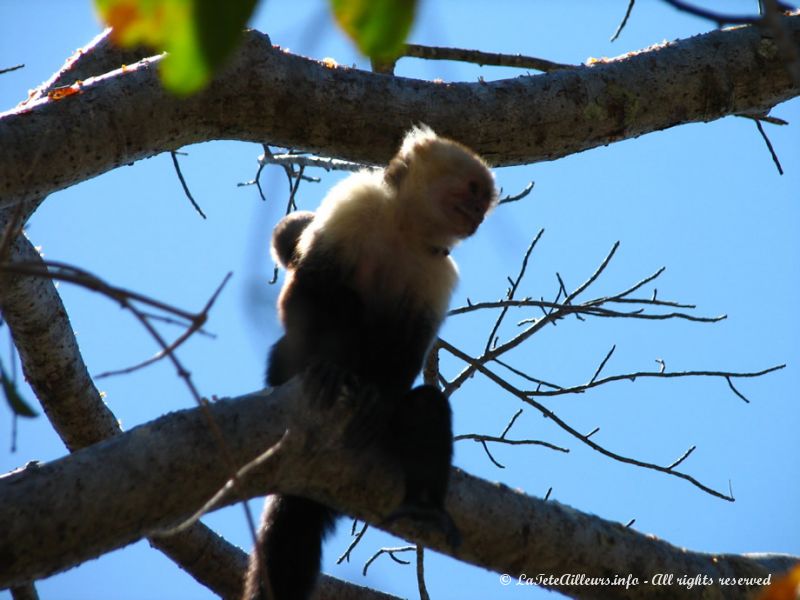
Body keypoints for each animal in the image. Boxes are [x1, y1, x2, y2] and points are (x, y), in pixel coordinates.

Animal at [241, 126, 496, 600]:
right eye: (472, 191)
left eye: (484, 201)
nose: (479, 214)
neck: (405, 229)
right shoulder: (353, 203)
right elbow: (307, 288)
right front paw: (328, 367)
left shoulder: (438, 273)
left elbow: (410, 346)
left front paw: (380, 397)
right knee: (332, 310)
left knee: (425, 408)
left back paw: (424, 503)